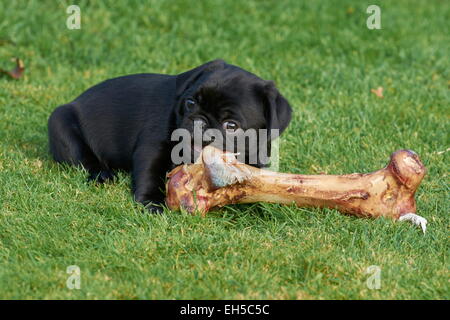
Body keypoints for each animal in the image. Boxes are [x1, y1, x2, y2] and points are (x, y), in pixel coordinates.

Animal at [48, 58, 292, 211]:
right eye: (190, 102)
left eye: (231, 125)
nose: (199, 120)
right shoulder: (152, 148)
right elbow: (150, 173)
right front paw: (152, 202)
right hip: (61, 124)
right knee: (85, 160)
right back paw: (103, 175)